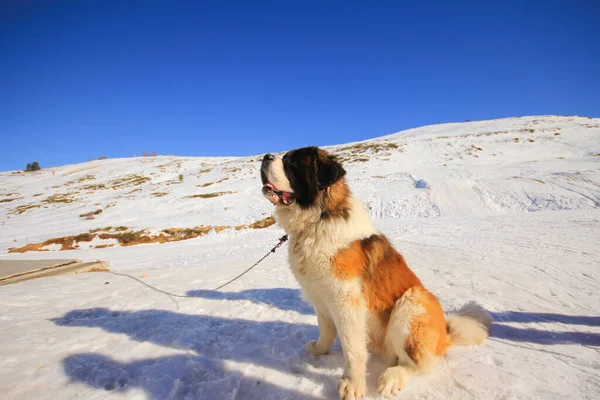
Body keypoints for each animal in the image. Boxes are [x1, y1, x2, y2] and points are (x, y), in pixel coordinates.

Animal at [260, 146, 490, 396]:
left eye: (292, 163)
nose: (265, 157)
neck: (319, 220)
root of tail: (444, 336)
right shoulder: (320, 297)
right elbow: (326, 330)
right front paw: (319, 350)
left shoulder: (346, 301)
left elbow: (352, 348)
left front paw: (352, 384)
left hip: (412, 302)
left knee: (420, 363)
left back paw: (392, 377)